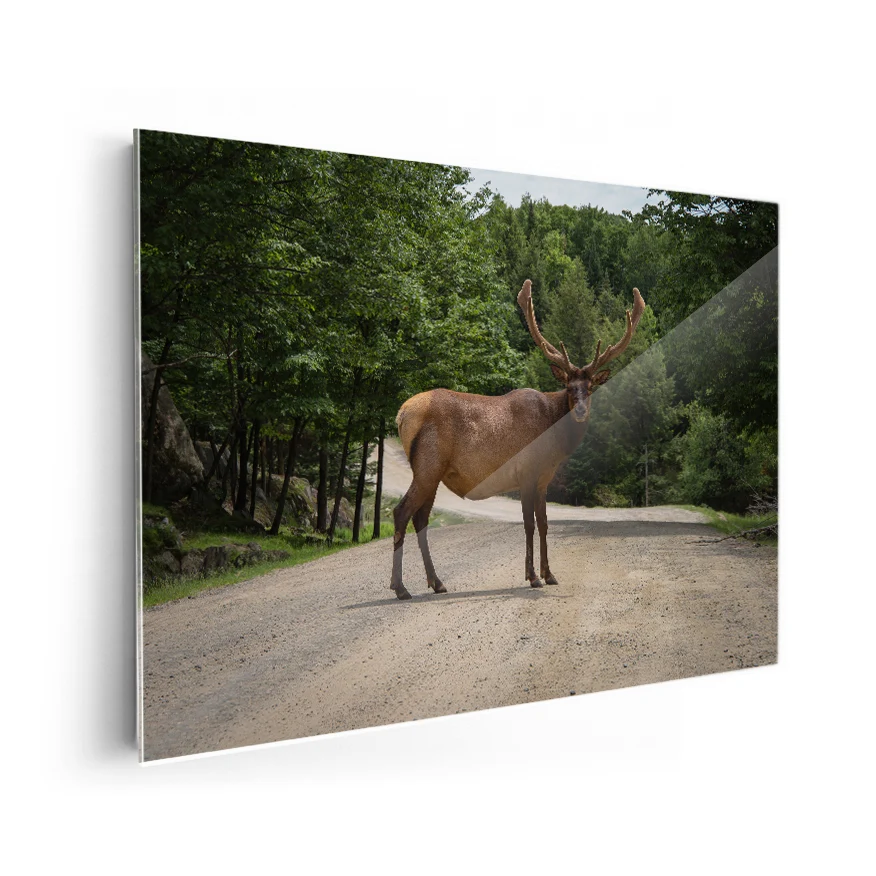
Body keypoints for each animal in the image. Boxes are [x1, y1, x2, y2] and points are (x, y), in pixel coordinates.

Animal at [390, 279, 646, 600]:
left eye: (590, 388)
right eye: (569, 387)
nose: (580, 410)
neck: (553, 441)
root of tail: (401, 414)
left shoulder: (544, 478)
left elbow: (545, 523)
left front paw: (550, 574)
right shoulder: (526, 471)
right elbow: (528, 524)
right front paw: (533, 576)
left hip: (432, 473)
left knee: (420, 518)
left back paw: (437, 583)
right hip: (427, 465)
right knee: (401, 512)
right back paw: (400, 588)